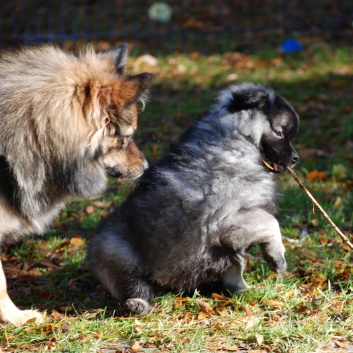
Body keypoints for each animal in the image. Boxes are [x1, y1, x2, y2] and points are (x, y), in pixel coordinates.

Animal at [89, 82, 298, 314]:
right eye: (279, 132)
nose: (295, 158)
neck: (238, 139)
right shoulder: (226, 219)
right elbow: (271, 223)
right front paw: (277, 257)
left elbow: (245, 253)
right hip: (121, 258)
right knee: (133, 285)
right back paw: (137, 304)